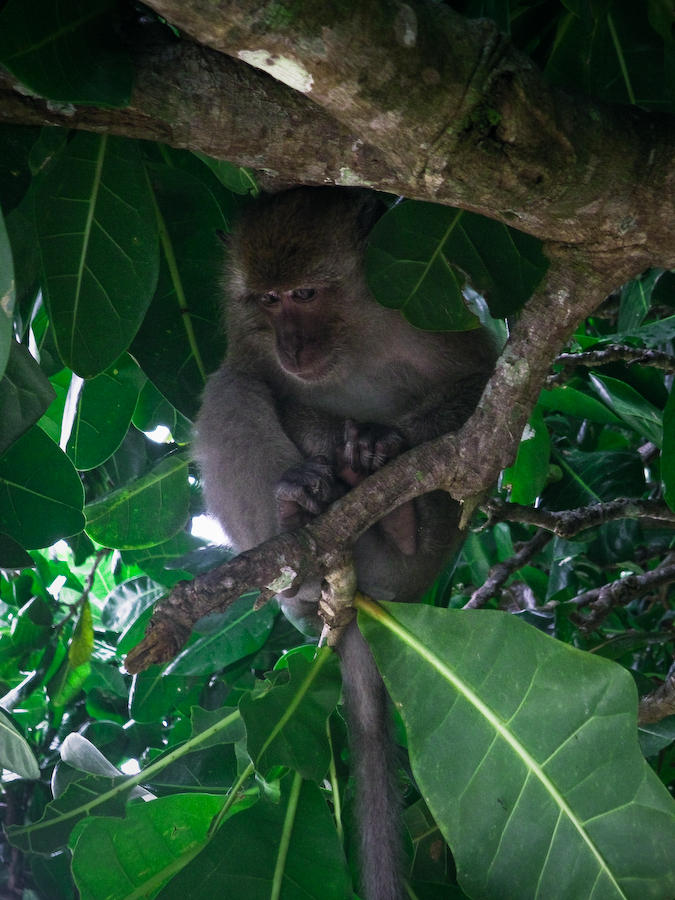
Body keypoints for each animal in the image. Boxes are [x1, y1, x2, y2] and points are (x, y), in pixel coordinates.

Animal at [195, 187, 496, 900]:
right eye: (268, 300)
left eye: (305, 294)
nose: (291, 344)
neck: (351, 332)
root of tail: (362, 597)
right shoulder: (249, 337)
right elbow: (259, 382)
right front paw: (335, 452)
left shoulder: (426, 303)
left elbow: (479, 380)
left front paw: (384, 445)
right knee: (232, 389)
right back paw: (295, 524)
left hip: (421, 564)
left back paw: (399, 517)